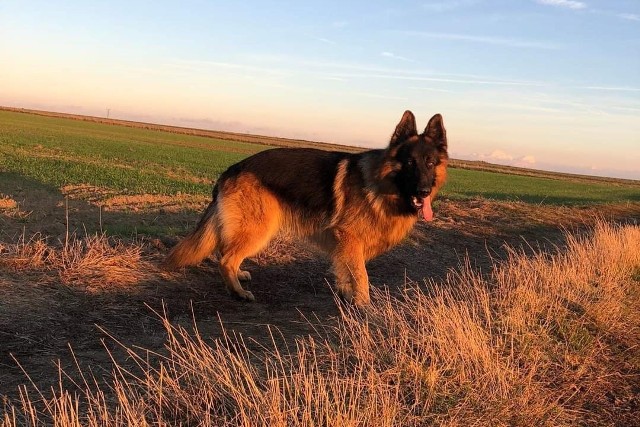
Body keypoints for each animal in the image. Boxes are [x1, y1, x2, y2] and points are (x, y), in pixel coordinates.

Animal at [162, 109, 448, 304]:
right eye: (409, 163)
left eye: (430, 163)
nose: (423, 191)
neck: (381, 184)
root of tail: (231, 169)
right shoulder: (349, 238)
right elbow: (361, 275)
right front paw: (364, 305)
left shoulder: (346, 245)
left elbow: (347, 271)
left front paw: (347, 295)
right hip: (259, 229)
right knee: (225, 259)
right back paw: (239, 293)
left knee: (226, 253)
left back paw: (239, 276)